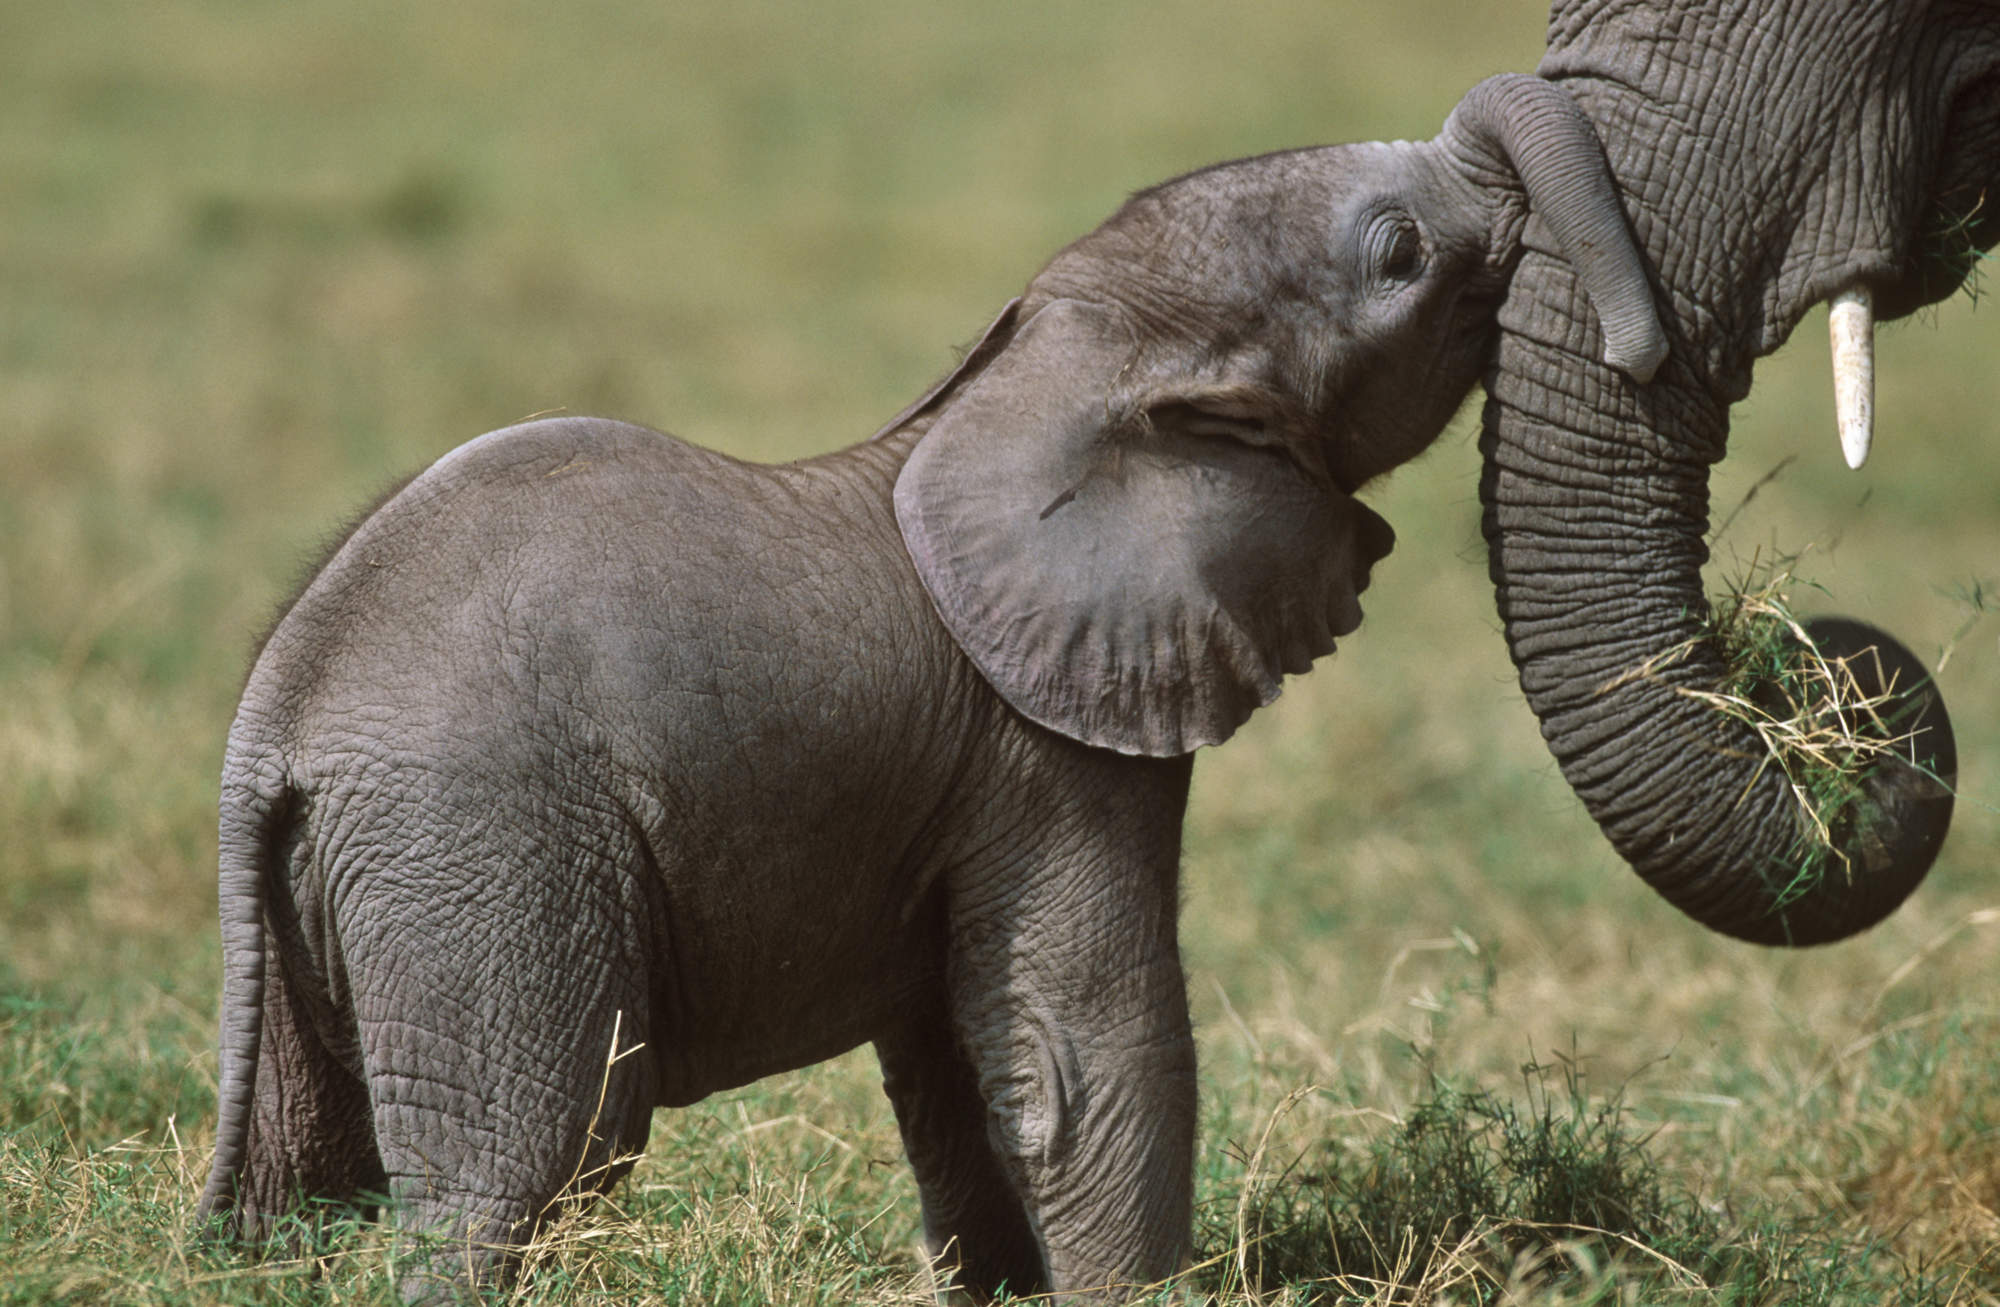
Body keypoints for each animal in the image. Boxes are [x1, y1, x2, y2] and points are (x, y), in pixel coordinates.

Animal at [196, 74, 1663, 1302]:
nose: (1642, 352)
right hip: (480, 849)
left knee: (298, 1176)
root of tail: (279, 716)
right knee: (532, 1163)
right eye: (1396, 254)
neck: (1041, 369)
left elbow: (959, 1071)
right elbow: (1086, 1050)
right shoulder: (1045, 746)